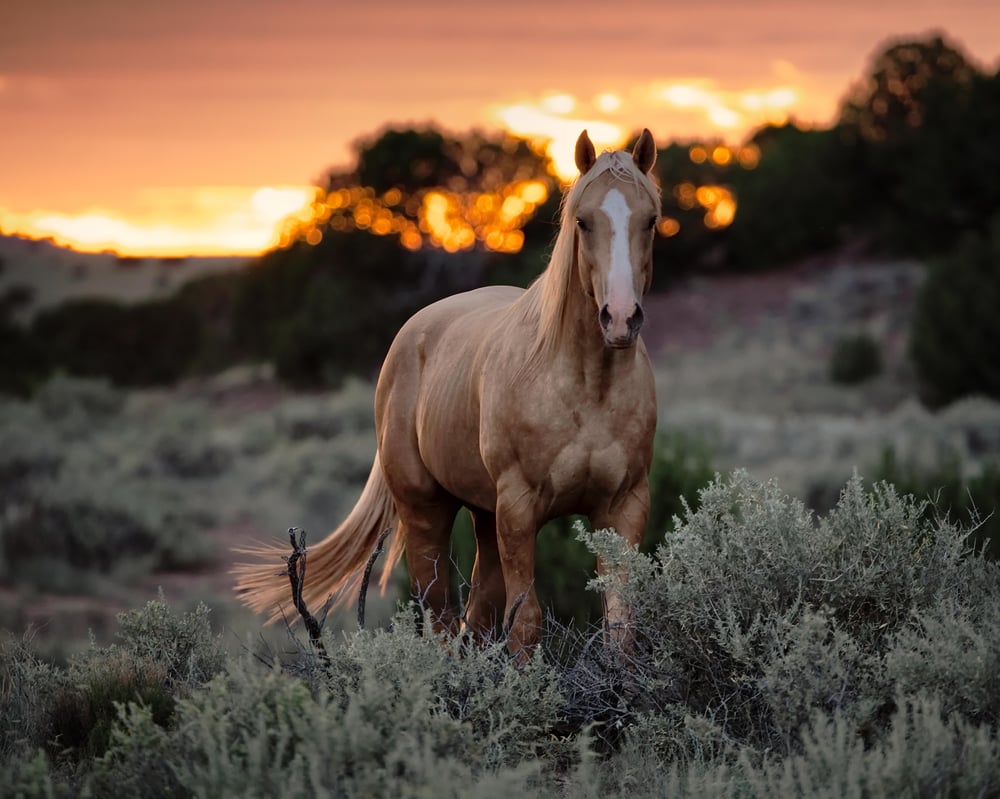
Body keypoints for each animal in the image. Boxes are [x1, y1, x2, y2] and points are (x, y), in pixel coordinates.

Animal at [237, 130, 660, 656]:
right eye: (583, 221)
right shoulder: (519, 509)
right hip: (426, 511)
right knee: (439, 617)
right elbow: (526, 624)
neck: (587, 387)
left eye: (650, 220)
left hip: (484, 514)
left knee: (475, 616)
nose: (620, 319)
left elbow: (620, 626)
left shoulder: (624, 507)